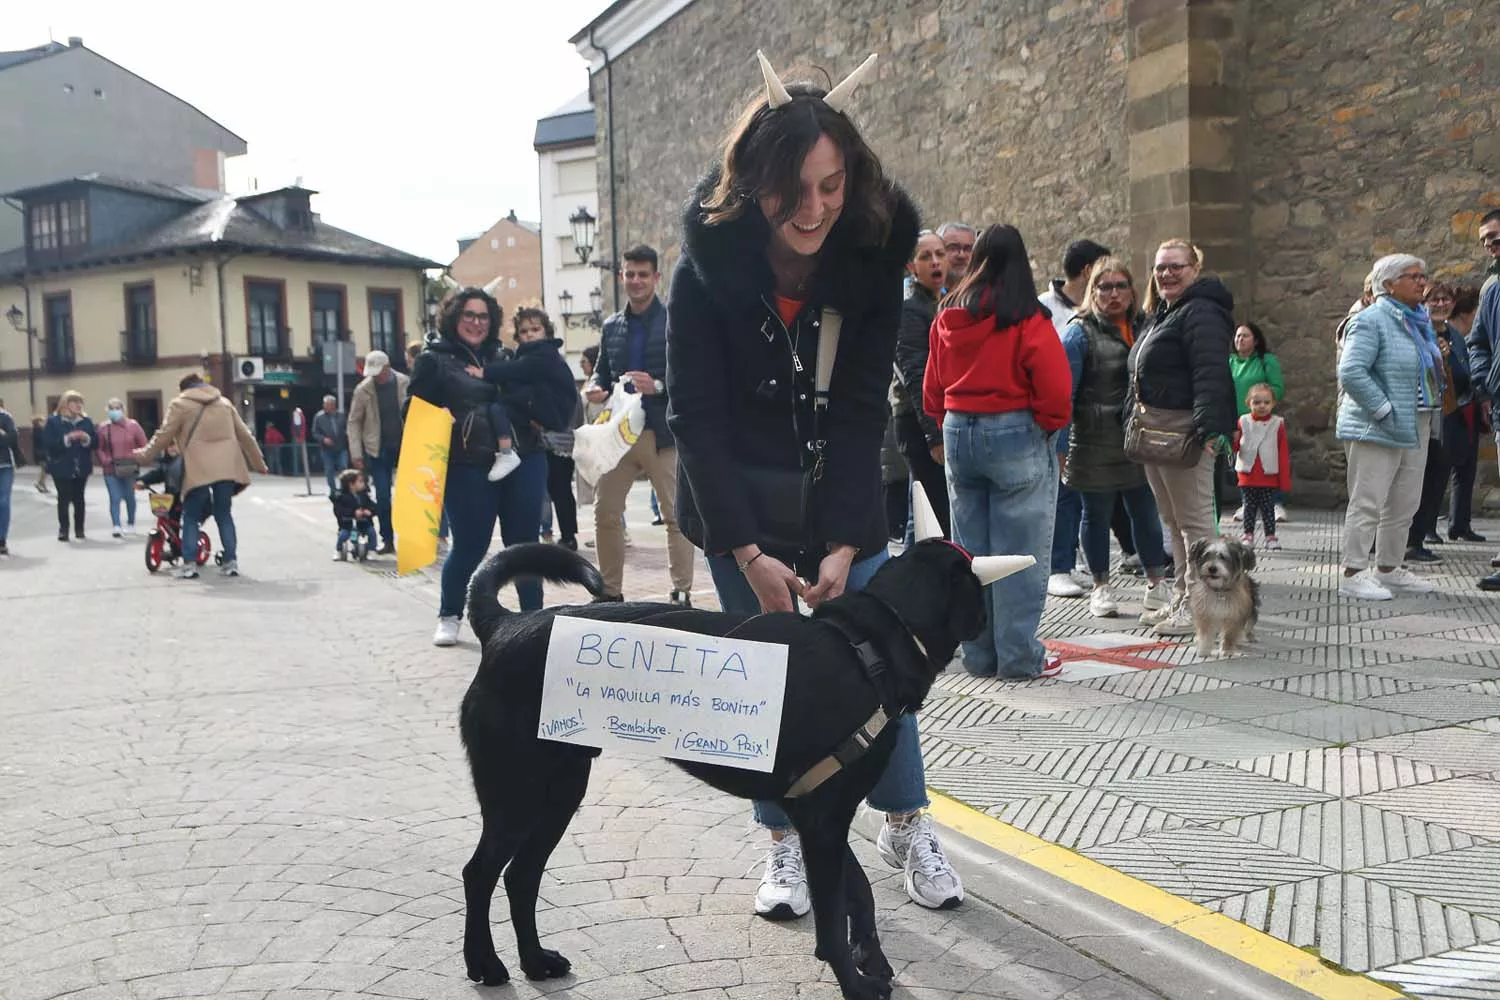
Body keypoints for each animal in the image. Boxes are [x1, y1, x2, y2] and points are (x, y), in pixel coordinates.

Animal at [450, 539, 1002, 1000]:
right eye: (976, 582)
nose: (991, 615)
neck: (868, 652)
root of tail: (503, 625)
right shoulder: (823, 822)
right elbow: (832, 919)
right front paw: (856, 984)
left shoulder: (820, 816)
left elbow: (860, 892)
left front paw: (873, 958)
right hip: (516, 793)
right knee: (480, 872)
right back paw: (486, 964)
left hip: (559, 792)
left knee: (521, 876)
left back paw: (535, 962)